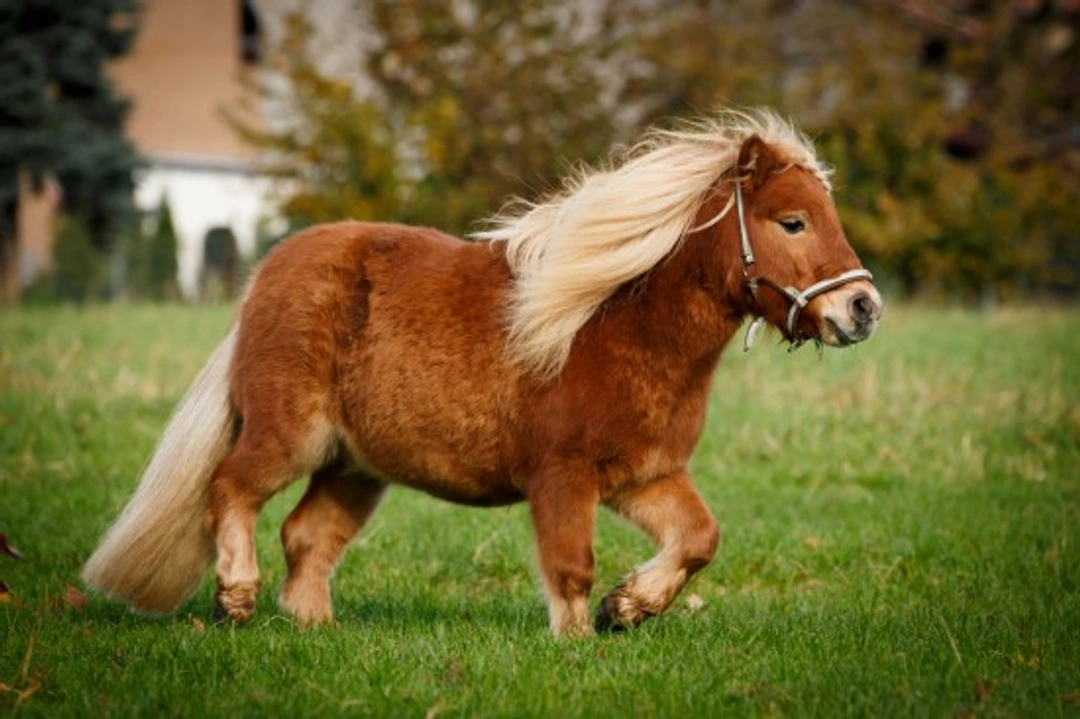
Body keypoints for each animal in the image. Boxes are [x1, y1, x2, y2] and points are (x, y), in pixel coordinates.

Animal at [81, 109, 883, 636]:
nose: (863, 307)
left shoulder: (647, 476)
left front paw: (629, 606)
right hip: (290, 436)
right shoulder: (563, 476)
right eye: (792, 222)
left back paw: (315, 629)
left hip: (353, 466)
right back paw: (236, 597)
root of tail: (267, 275)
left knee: (307, 537)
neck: (612, 321)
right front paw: (580, 642)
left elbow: (699, 538)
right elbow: (571, 566)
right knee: (230, 489)